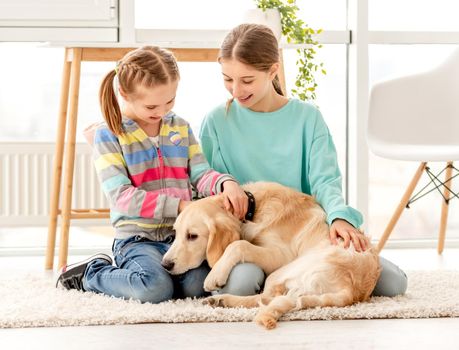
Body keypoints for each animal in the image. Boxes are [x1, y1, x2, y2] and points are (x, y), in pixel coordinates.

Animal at [162, 182, 380, 330]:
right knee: (266, 298)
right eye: (175, 233)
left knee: (266, 297)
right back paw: (220, 301)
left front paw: (215, 274)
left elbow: (238, 244)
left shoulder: (280, 255)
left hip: (286, 269)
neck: (253, 209)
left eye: (192, 236)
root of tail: (351, 291)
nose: (165, 264)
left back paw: (222, 299)